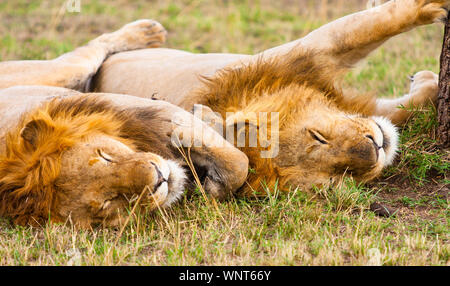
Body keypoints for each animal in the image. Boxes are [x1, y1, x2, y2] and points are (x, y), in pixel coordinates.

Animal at [0, 0, 446, 228]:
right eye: (336, 178)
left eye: (317, 135)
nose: (374, 148)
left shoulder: (311, 55)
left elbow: (376, 29)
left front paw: (429, 46)